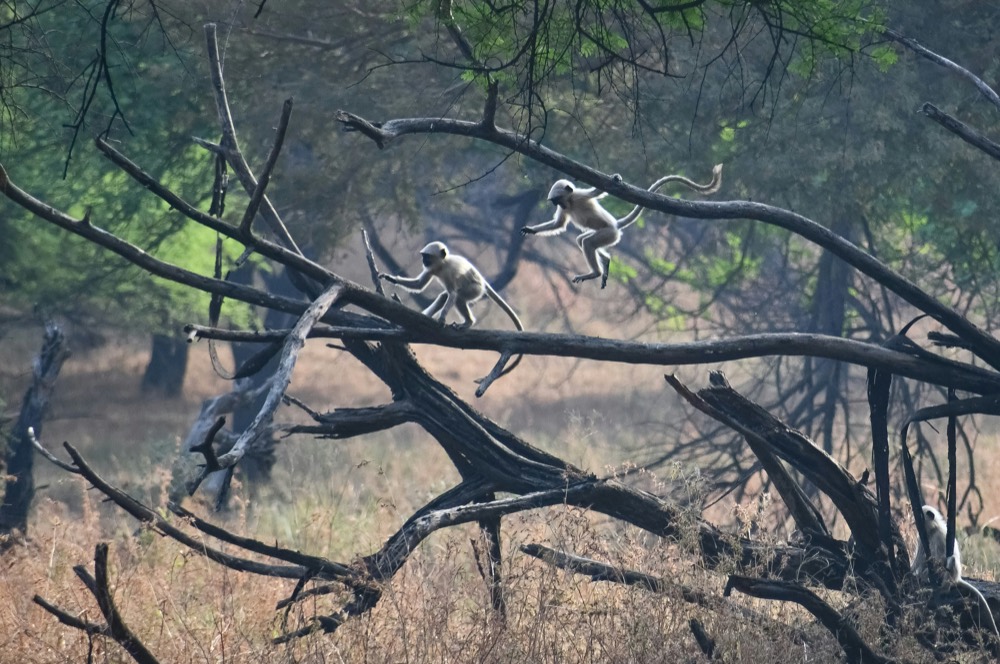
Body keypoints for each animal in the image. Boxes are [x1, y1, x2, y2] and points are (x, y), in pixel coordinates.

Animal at [520, 164, 723, 288]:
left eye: (556, 200)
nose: (558, 205)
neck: (570, 202)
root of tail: (616, 225)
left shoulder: (579, 195)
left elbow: (599, 191)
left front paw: (614, 178)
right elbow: (559, 224)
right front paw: (530, 229)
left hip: (609, 234)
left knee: (587, 243)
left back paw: (595, 273)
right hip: (606, 234)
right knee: (582, 240)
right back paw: (605, 262)